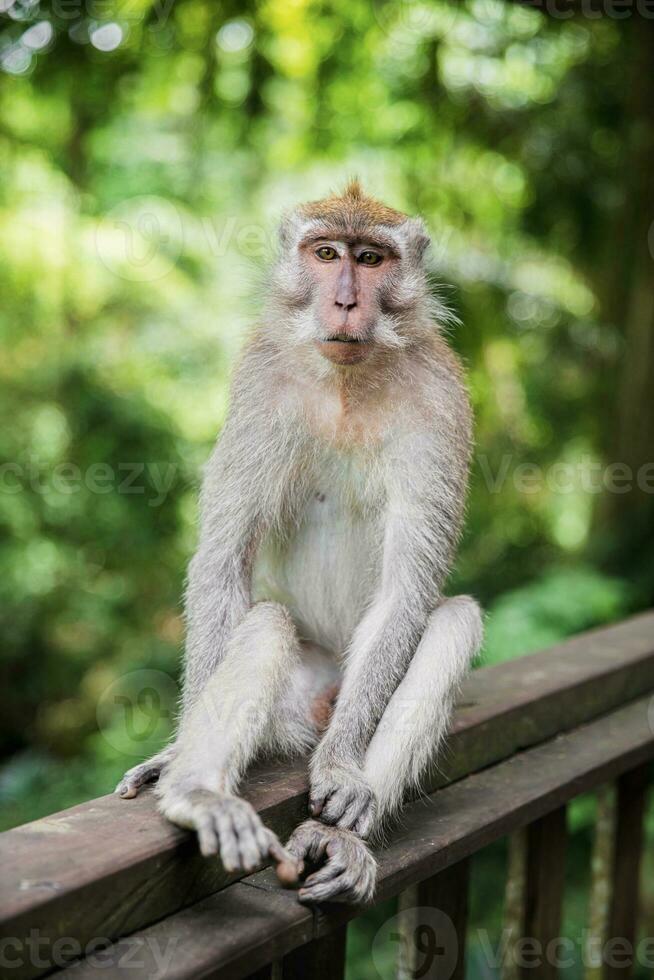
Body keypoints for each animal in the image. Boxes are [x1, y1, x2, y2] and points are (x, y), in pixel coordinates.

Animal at [115, 182, 484, 904]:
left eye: (370, 259)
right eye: (326, 254)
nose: (344, 301)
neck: (347, 376)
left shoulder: (442, 399)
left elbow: (406, 591)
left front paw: (341, 767)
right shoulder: (258, 384)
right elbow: (224, 560)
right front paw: (175, 757)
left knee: (453, 620)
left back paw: (345, 831)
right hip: (286, 713)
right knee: (266, 622)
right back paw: (197, 792)